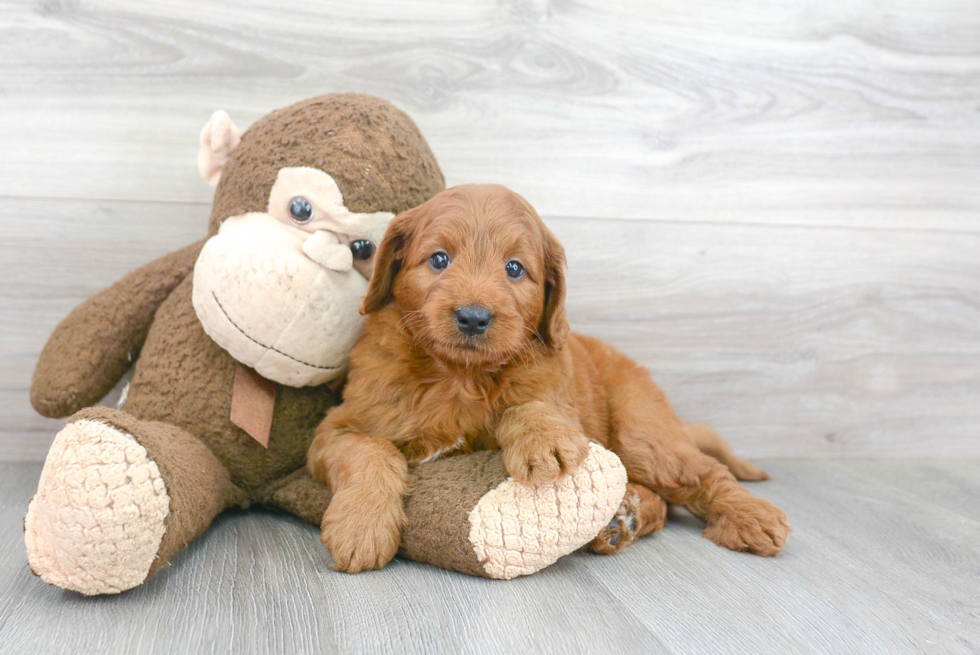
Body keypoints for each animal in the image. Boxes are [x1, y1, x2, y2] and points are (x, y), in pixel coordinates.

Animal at [310, 184, 792, 576]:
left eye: (515, 268)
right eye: (439, 259)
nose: (473, 317)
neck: (460, 376)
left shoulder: (561, 396)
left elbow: (533, 404)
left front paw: (542, 441)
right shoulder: (337, 427)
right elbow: (371, 451)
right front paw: (361, 527)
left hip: (643, 432)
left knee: (703, 475)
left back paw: (750, 516)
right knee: (666, 500)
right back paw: (624, 517)